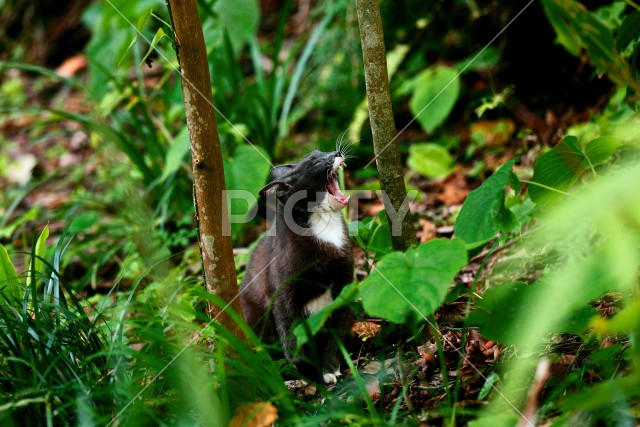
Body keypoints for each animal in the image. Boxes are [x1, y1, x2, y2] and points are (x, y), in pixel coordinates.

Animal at [239, 150, 352, 384]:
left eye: (320, 151)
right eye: (316, 161)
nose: (336, 152)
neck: (324, 226)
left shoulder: (344, 282)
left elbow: (337, 331)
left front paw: (329, 368)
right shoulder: (282, 294)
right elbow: (290, 337)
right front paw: (307, 372)